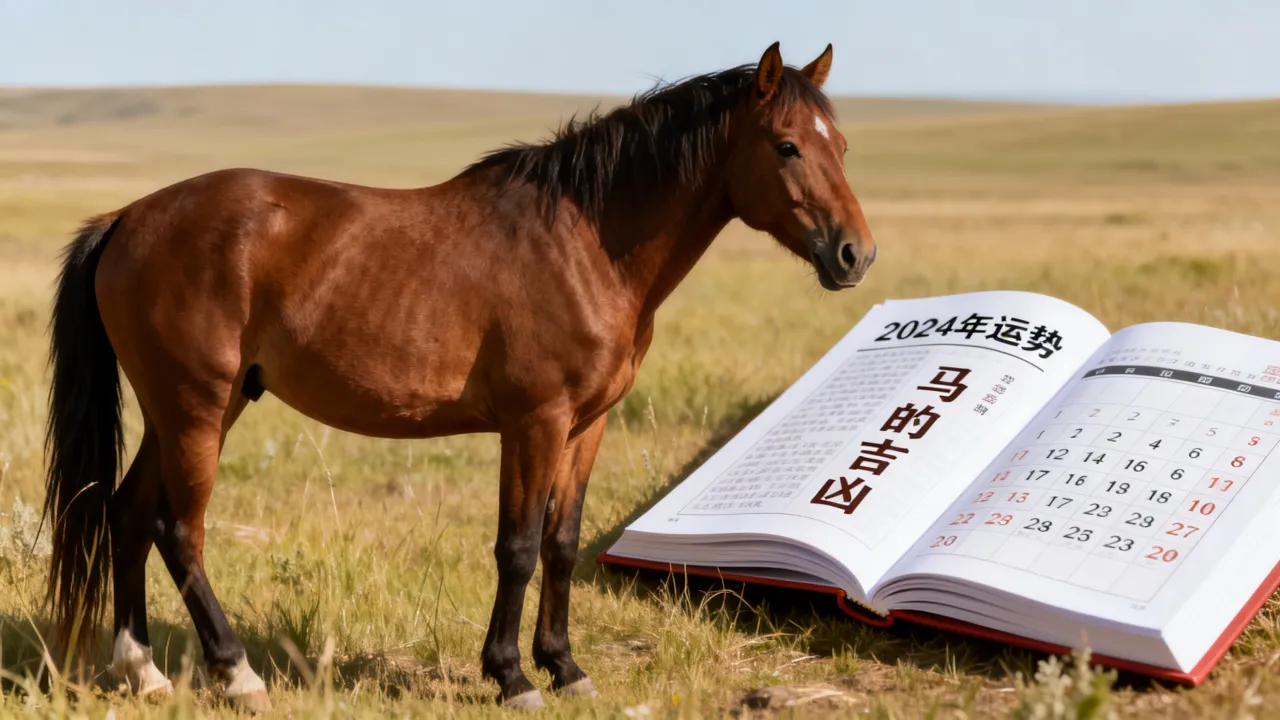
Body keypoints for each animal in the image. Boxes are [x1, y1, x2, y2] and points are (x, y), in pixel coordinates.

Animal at [41, 41, 875, 711]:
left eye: (842, 144)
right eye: (787, 146)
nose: (855, 255)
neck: (586, 241)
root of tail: (127, 219)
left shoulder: (587, 424)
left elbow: (562, 542)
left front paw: (566, 667)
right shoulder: (535, 421)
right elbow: (518, 546)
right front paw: (513, 677)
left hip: (186, 409)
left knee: (127, 513)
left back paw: (145, 671)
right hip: (197, 408)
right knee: (178, 530)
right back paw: (237, 674)